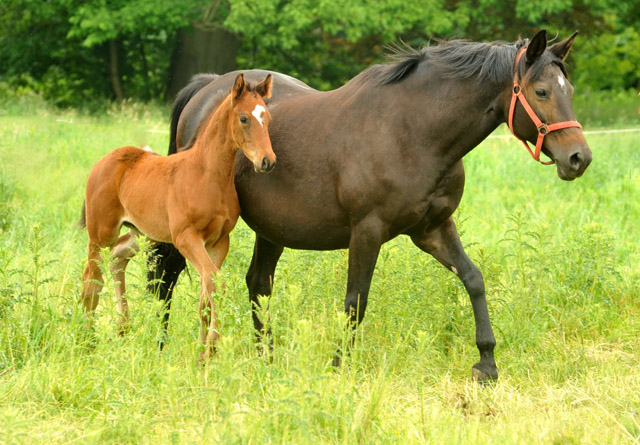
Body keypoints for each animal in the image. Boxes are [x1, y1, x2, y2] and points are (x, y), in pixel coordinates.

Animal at [79, 73, 276, 358]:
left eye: (267, 118)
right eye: (243, 118)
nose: (267, 161)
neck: (207, 175)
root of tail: (105, 160)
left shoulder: (218, 242)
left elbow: (207, 295)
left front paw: (203, 355)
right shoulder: (186, 238)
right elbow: (216, 284)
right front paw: (212, 348)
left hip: (141, 232)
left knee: (117, 257)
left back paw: (123, 327)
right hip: (101, 232)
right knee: (91, 280)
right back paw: (87, 340)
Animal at [149, 30, 592, 378]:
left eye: (569, 90)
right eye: (541, 91)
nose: (579, 158)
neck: (414, 132)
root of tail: (206, 88)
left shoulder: (433, 230)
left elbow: (474, 279)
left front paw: (486, 363)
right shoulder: (367, 230)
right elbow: (355, 301)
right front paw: (339, 366)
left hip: (271, 227)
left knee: (258, 284)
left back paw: (267, 360)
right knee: (167, 279)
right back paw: (160, 346)